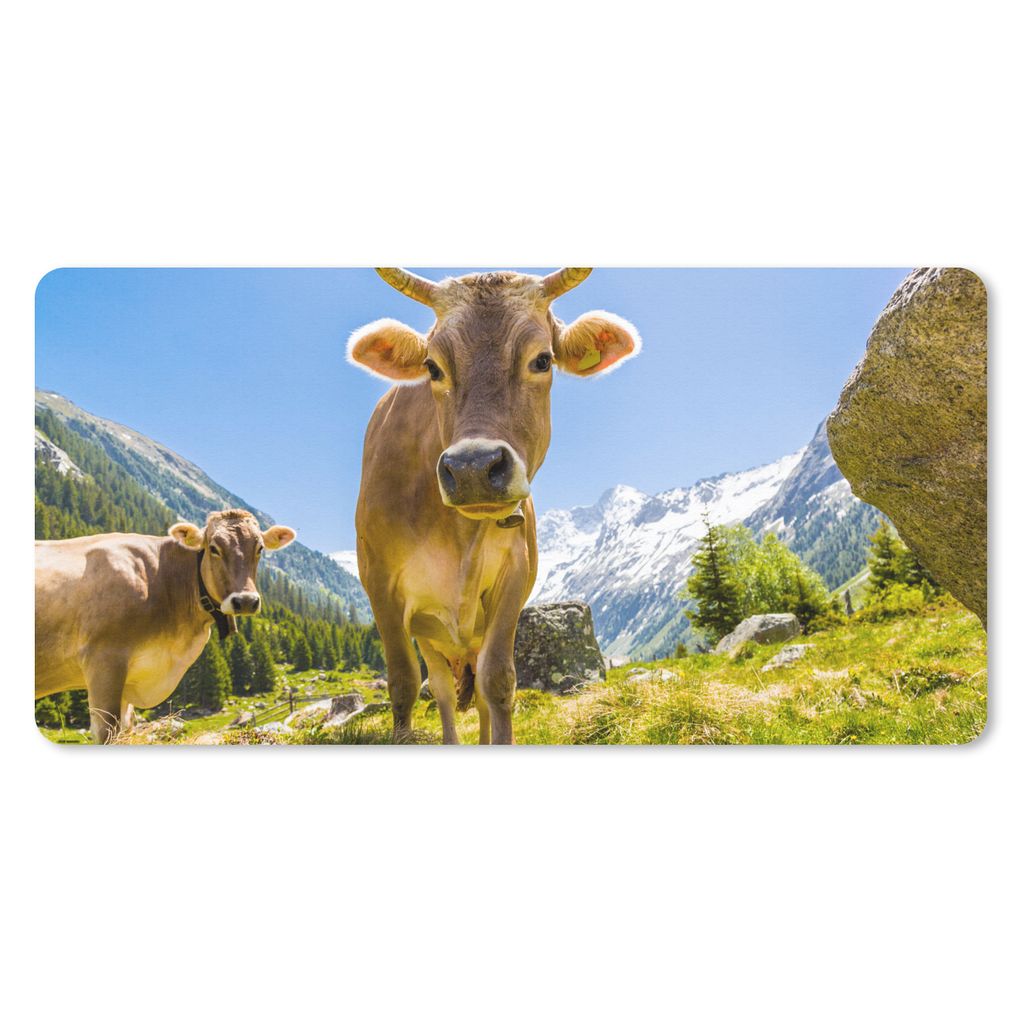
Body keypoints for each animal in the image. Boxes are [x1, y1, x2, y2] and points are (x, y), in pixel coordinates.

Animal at [348, 267, 641, 744]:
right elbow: (404, 683)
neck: (457, 534)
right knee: (441, 689)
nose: (472, 468)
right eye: (432, 367)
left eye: (542, 360)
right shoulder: (380, 584)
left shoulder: (514, 577)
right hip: (430, 635)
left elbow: (498, 681)